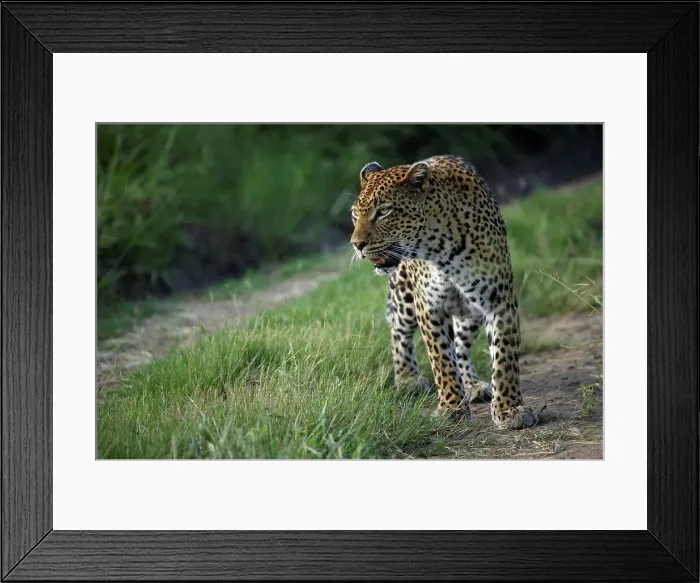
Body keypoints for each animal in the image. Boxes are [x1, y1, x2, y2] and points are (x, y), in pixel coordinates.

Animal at [350, 154, 538, 429]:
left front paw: (509, 409)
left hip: (470, 313)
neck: (440, 249)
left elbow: (504, 357)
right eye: (355, 214)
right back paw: (407, 378)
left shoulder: (499, 297)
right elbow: (441, 359)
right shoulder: (429, 306)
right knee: (399, 332)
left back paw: (472, 385)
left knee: (460, 345)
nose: (356, 245)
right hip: (405, 298)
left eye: (383, 211)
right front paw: (451, 408)